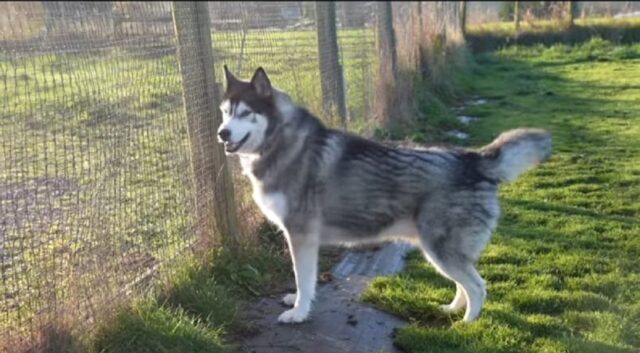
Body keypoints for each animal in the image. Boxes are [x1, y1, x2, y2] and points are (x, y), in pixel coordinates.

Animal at [218, 65, 552, 322]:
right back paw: (451, 310)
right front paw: (297, 302)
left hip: (440, 249)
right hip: (442, 251)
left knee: (478, 286)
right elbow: (305, 281)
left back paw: (466, 326)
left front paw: (299, 313)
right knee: (464, 284)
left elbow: (303, 279)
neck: (280, 142)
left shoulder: (301, 235)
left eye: (246, 113)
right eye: (224, 113)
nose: (222, 133)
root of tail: (475, 159)